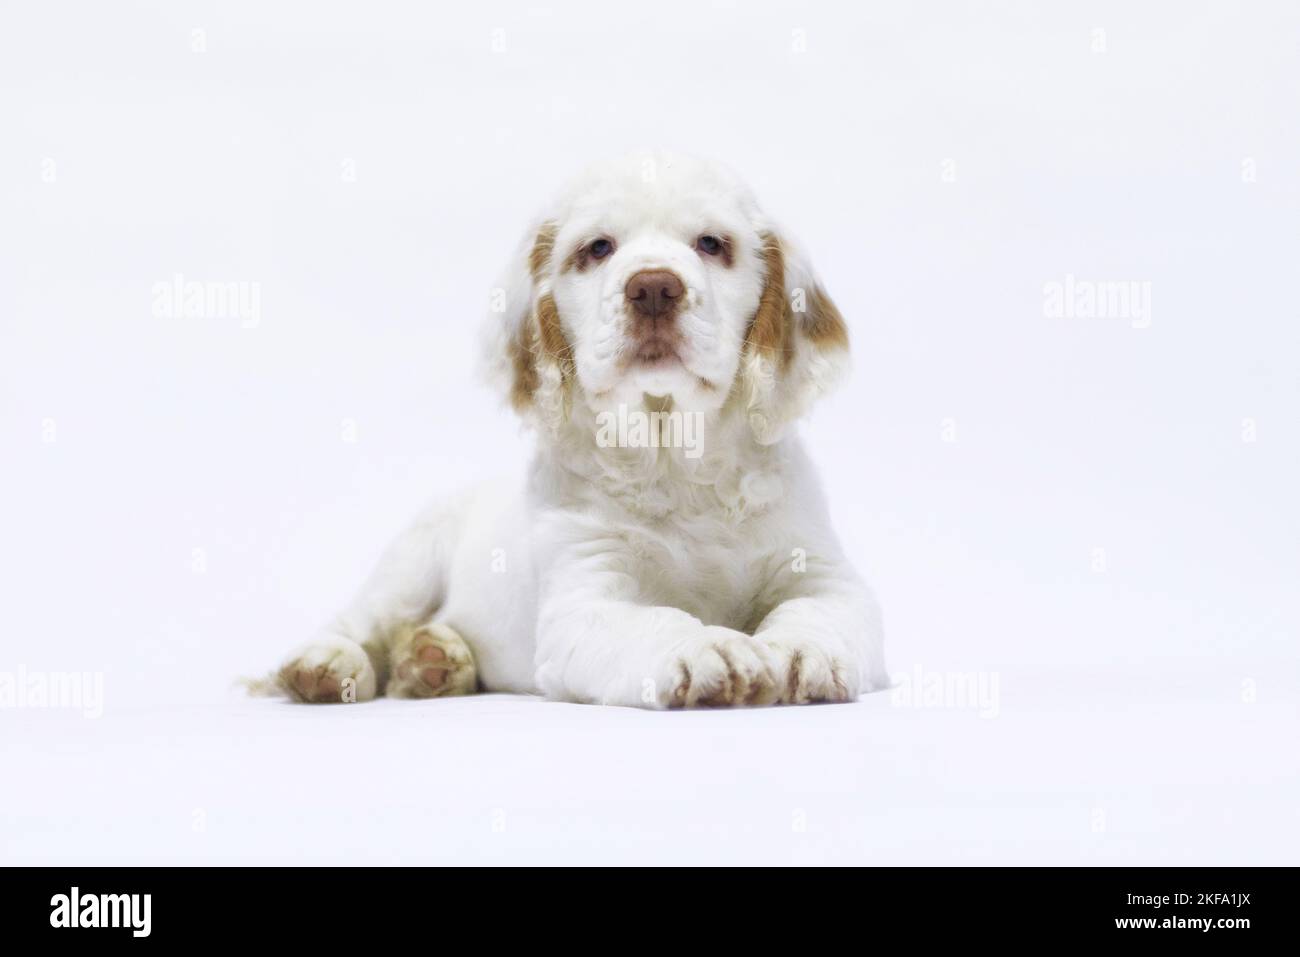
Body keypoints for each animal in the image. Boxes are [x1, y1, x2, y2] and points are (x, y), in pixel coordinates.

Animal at [258, 153, 889, 707]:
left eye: (712, 244)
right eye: (598, 249)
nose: (653, 288)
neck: (674, 455)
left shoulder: (822, 572)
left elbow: (817, 610)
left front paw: (803, 653)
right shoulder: (585, 596)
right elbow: (656, 620)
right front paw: (709, 649)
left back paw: (433, 660)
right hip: (409, 564)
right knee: (362, 624)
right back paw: (327, 665)